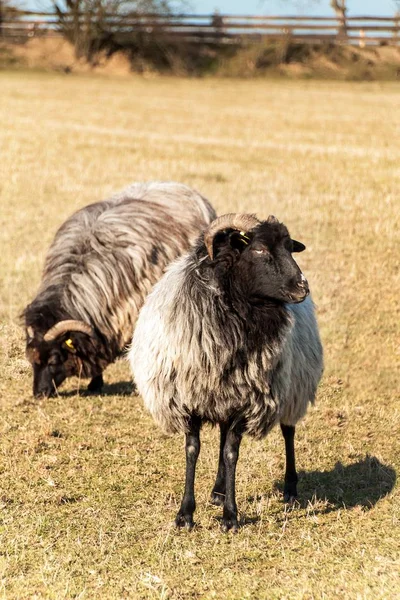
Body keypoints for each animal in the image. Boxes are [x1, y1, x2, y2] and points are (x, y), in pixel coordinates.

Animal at [130, 213, 324, 532]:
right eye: (259, 249)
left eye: (289, 248)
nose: (302, 288)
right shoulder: (188, 398)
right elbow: (193, 450)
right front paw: (185, 514)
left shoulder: (247, 401)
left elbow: (232, 453)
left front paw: (230, 517)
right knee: (222, 436)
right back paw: (218, 491)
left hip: (293, 387)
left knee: (288, 431)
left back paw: (290, 489)